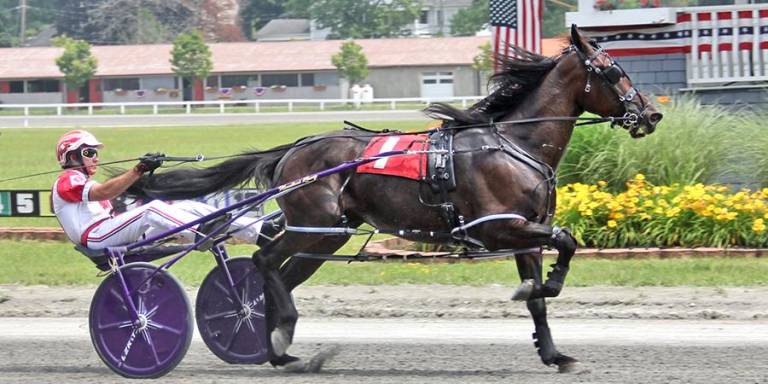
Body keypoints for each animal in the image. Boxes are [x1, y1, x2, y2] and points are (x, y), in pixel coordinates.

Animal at [130, 26, 660, 372]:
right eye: (612, 71)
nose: (650, 114)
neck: (514, 145)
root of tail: (294, 149)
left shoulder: (525, 230)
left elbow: (539, 300)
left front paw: (552, 348)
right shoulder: (498, 227)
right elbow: (567, 241)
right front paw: (545, 284)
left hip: (327, 234)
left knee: (280, 272)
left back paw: (279, 348)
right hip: (314, 223)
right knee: (264, 262)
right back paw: (280, 336)